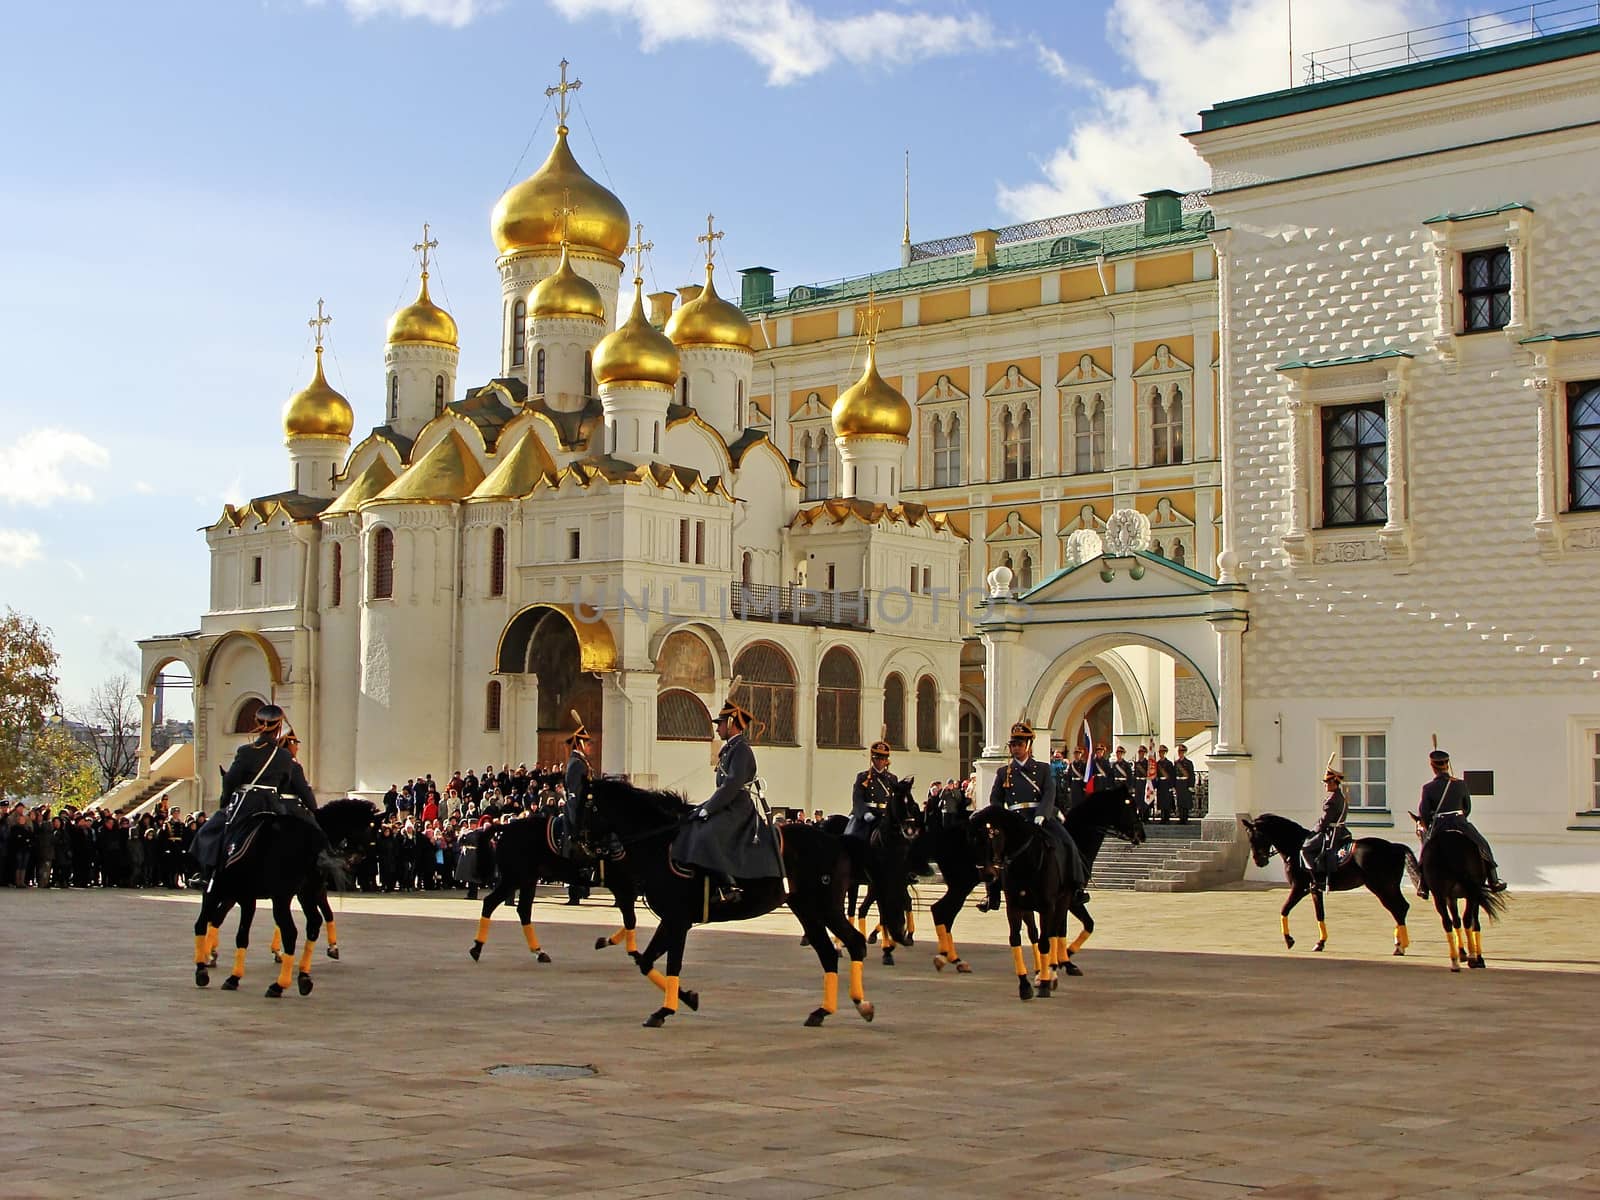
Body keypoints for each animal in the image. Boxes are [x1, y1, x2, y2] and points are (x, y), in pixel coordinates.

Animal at [464, 809, 636, 966]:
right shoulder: (623, 886)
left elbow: (630, 918)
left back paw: (538, 952)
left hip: (527, 879)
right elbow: (630, 918)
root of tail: (507, 827)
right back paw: (477, 948)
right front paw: (630, 951)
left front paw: (609, 942)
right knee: (491, 902)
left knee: (523, 910)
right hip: (514, 878)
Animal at [585, 780, 902, 1036]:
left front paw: (667, 1009)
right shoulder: (671, 920)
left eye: (586, 804)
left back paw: (862, 1004)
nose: (583, 846)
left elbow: (670, 963)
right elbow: (646, 961)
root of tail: (837, 840)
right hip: (806, 909)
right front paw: (687, 998)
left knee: (854, 943)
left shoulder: (678, 919)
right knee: (827, 953)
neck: (663, 845)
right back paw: (822, 1011)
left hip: (826, 907)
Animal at [1241, 819, 1420, 960]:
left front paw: (1289, 940)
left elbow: (1284, 909)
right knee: (1402, 907)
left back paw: (1400, 946)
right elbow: (1320, 914)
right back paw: (1399, 943)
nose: (1259, 861)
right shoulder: (1315, 890)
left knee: (1397, 909)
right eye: (1249, 837)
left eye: (1255, 837)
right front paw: (1320, 943)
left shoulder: (1299, 888)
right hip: (1390, 886)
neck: (1296, 847)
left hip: (1380, 887)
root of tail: (1394, 846)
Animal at [1414, 812, 1510, 972]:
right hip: (1470, 893)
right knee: (1466, 919)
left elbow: (1456, 921)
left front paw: (1462, 953)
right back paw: (1471, 958)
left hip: (1439, 895)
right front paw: (1477, 958)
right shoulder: (1471, 895)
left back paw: (1455, 961)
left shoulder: (1450, 897)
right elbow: (1472, 922)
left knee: (1448, 922)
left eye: (1419, 831)